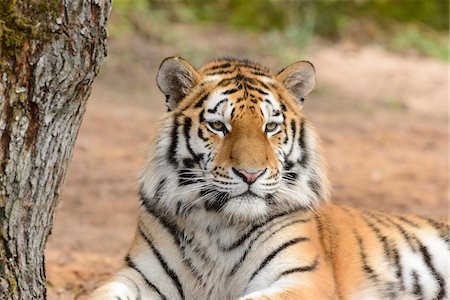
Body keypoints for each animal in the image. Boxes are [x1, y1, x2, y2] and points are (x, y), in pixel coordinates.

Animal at [89, 56, 448, 300]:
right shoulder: (141, 277)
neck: (219, 223)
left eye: (270, 127)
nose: (251, 174)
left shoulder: (303, 279)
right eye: (218, 126)